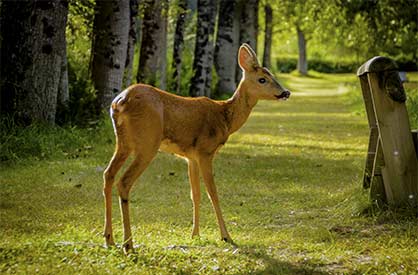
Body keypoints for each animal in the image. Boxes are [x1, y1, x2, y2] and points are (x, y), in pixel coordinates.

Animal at [103, 43, 290, 252]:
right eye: (262, 79)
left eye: (271, 74)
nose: (285, 92)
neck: (225, 118)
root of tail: (119, 102)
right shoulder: (205, 151)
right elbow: (213, 193)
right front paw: (226, 236)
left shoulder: (190, 157)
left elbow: (196, 194)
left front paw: (195, 235)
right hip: (147, 143)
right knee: (124, 181)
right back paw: (128, 245)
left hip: (123, 143)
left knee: (108, 174)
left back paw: (109, 239)